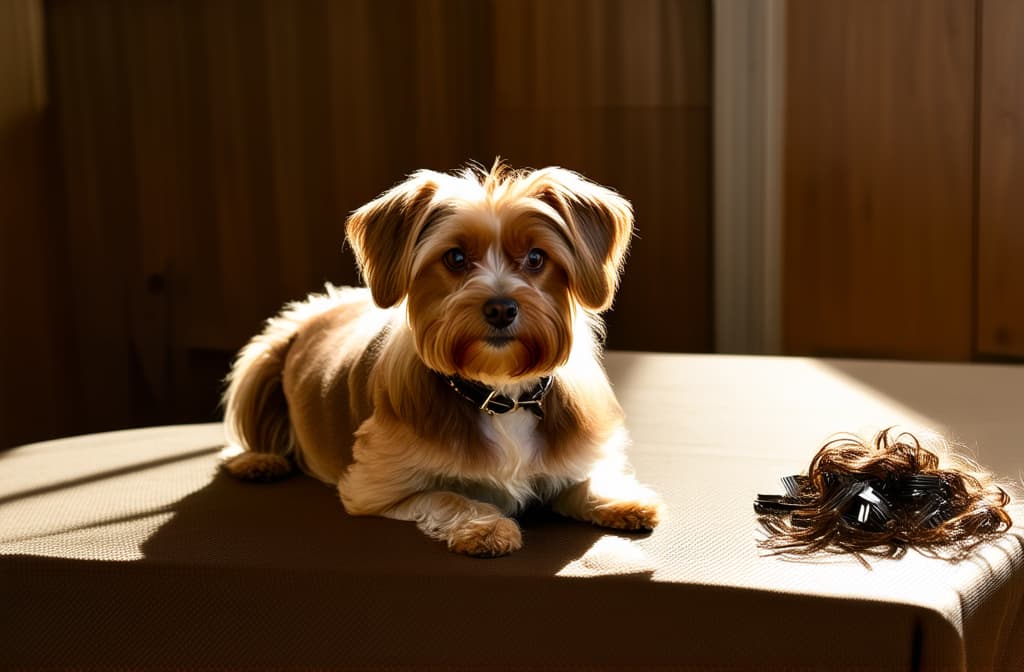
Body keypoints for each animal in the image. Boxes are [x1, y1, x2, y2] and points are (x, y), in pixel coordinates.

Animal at [220, 162, 659, 557]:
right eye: (456, 258)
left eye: (536, 258)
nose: (501, 308)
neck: (501, 393)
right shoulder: (377, 485)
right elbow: (446, 495)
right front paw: (485, 527)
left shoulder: (572, 455)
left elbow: (585, 481)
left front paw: (622, 499)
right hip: (264, 353)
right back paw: (256, 459)